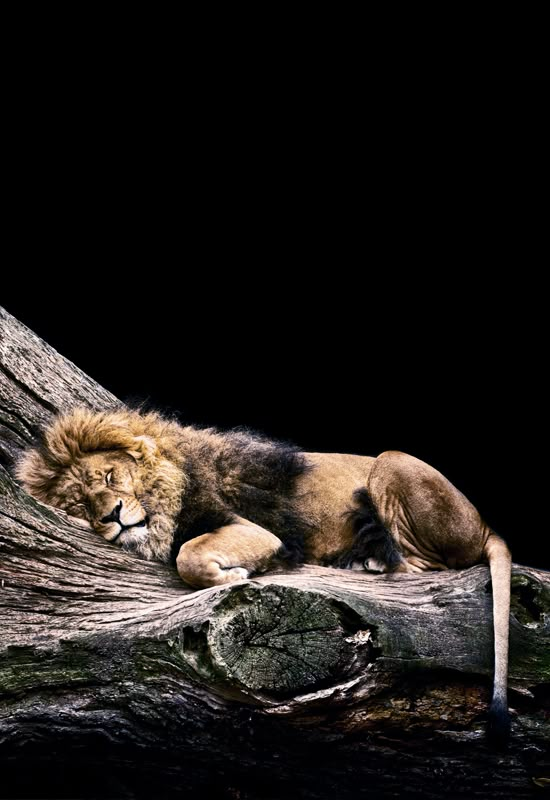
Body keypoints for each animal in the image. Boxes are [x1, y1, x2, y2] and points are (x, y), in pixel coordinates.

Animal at [18, 406, 516, 744]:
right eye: (80, 504)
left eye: (108, 476)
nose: (113, 515)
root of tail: (484, 523)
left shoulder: (254, 529)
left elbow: (189, 555)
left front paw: (237, 575)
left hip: (391, 462)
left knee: (425, 564)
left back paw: (364, 561)